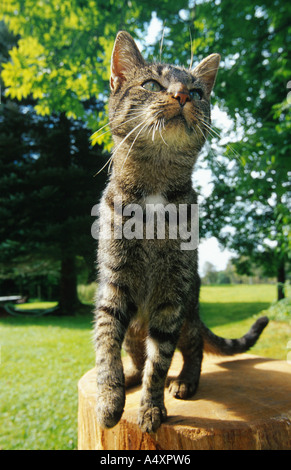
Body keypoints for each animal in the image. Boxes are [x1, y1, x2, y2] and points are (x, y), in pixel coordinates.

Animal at [93, 30, 270, 434]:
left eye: (198, 91)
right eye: (152, 84)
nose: (182, 95)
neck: (155, 190)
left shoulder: (172, 293)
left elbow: (159, 363)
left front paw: (151, 408)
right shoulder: (114, 283)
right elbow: (106, 345)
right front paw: (110, 399)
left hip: (188, 311)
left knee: (192, 349)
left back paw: (187, 380)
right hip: (141, 323)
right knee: (134, 352)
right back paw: (130, 376)